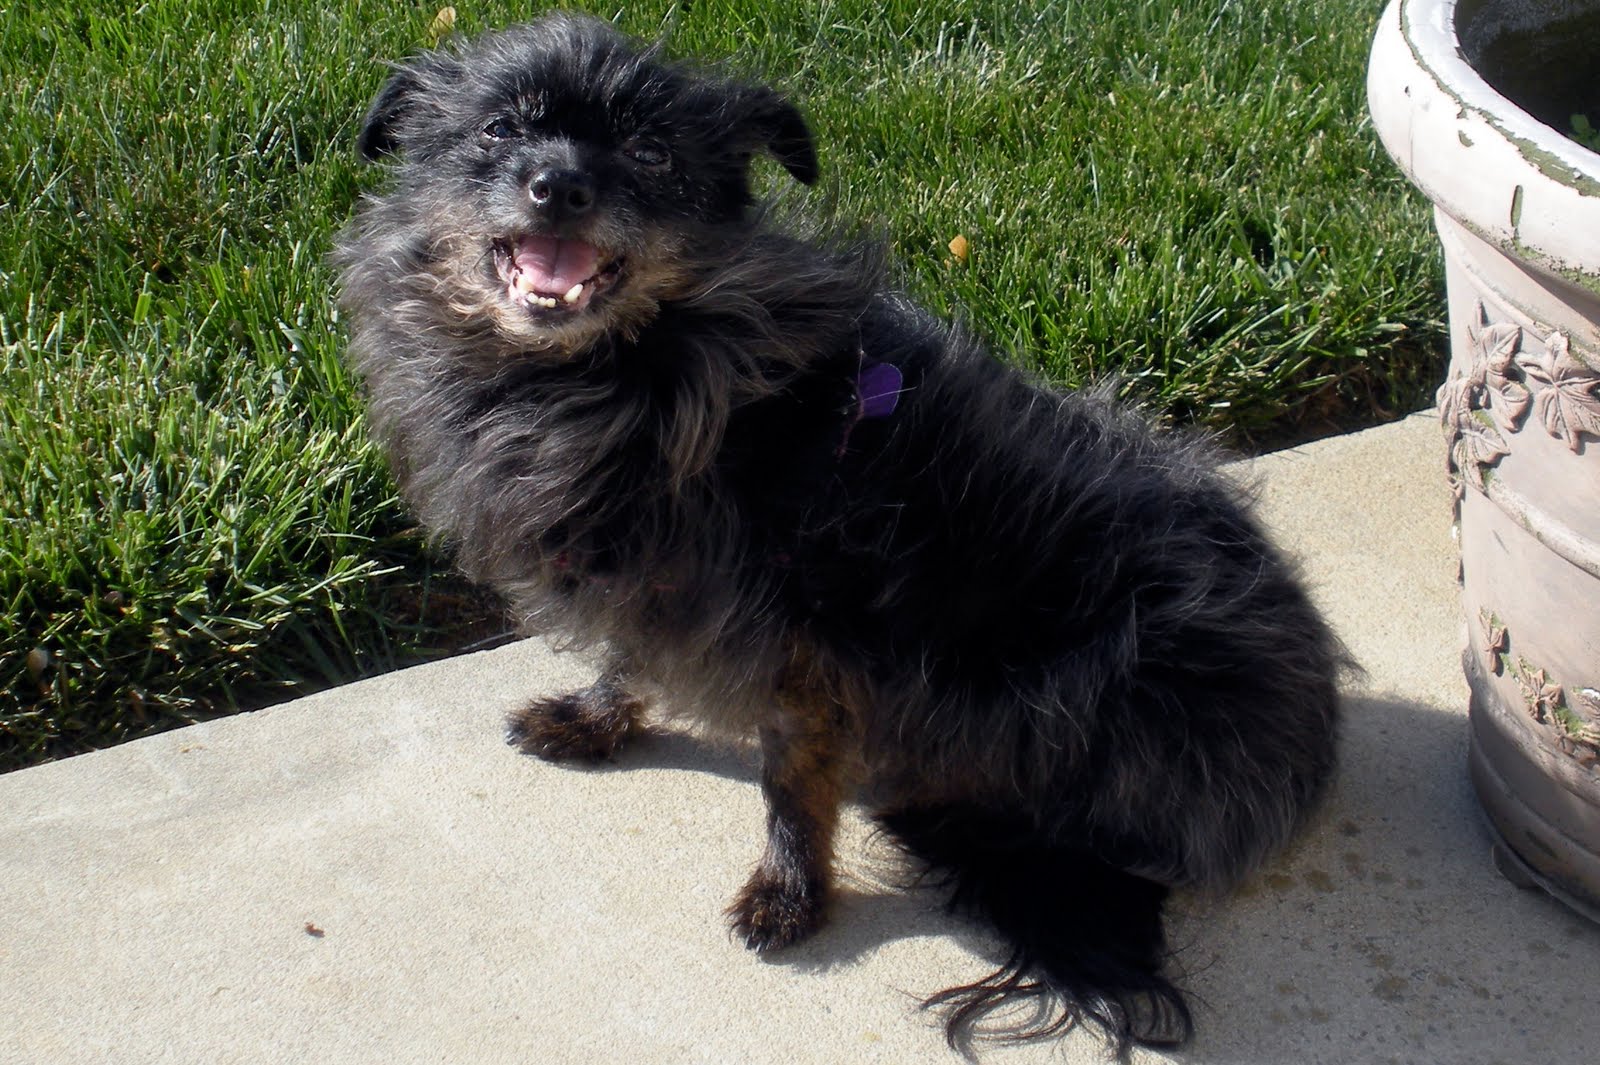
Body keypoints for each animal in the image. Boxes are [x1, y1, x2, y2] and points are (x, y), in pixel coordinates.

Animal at [336, 13, 1343, 1057]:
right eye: (499, 130)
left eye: (651, 154)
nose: (561, 185)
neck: (619, 374)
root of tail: (1309, 757)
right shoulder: (664, 587)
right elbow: (630, 658)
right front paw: (597, 715)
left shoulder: (806, 649)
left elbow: (792, 781)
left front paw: (791, 892)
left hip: (1086, 668)